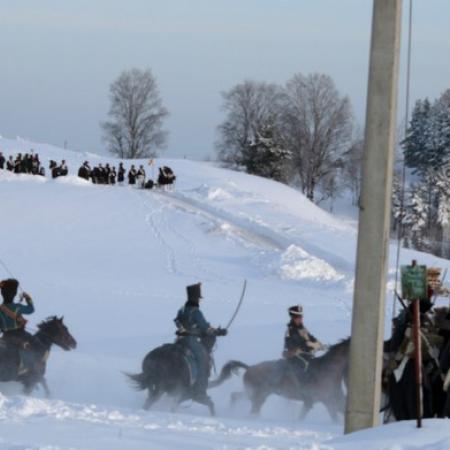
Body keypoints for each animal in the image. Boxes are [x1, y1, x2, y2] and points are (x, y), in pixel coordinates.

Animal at [209, 340, 350, 420]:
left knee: (235, 396)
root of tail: (249, 368)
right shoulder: (326, 402)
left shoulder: (332, 402)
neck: (327, 371)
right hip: (258, 397)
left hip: (252, 394)